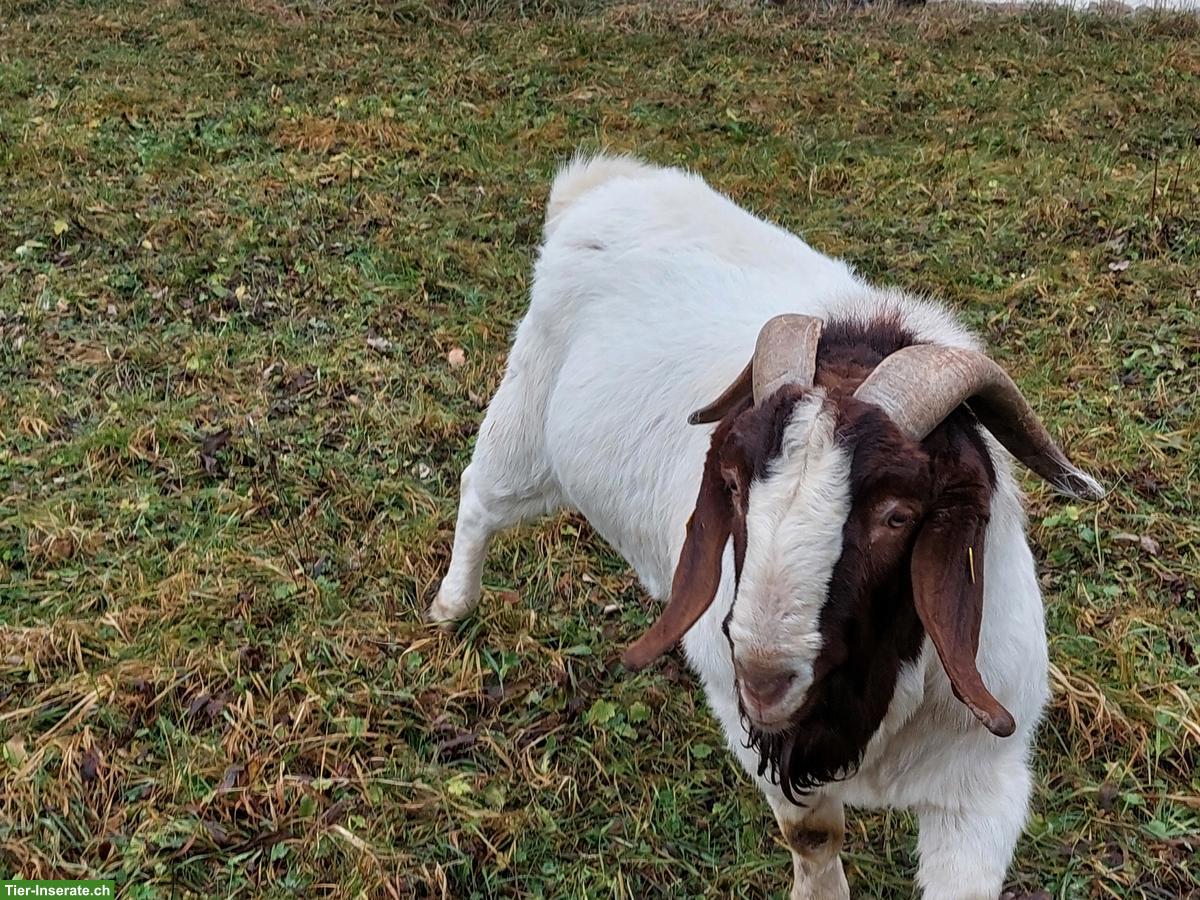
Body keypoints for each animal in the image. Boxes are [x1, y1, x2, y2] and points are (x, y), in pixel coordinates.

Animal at [429, 154, 1104, 899]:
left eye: (897, 513)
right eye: (734, 486)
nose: (763, 676)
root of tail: (601, 186)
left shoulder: (986, 779)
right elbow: (812, 837)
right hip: (527, 426)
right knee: (479, 494)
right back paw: (451, 606)